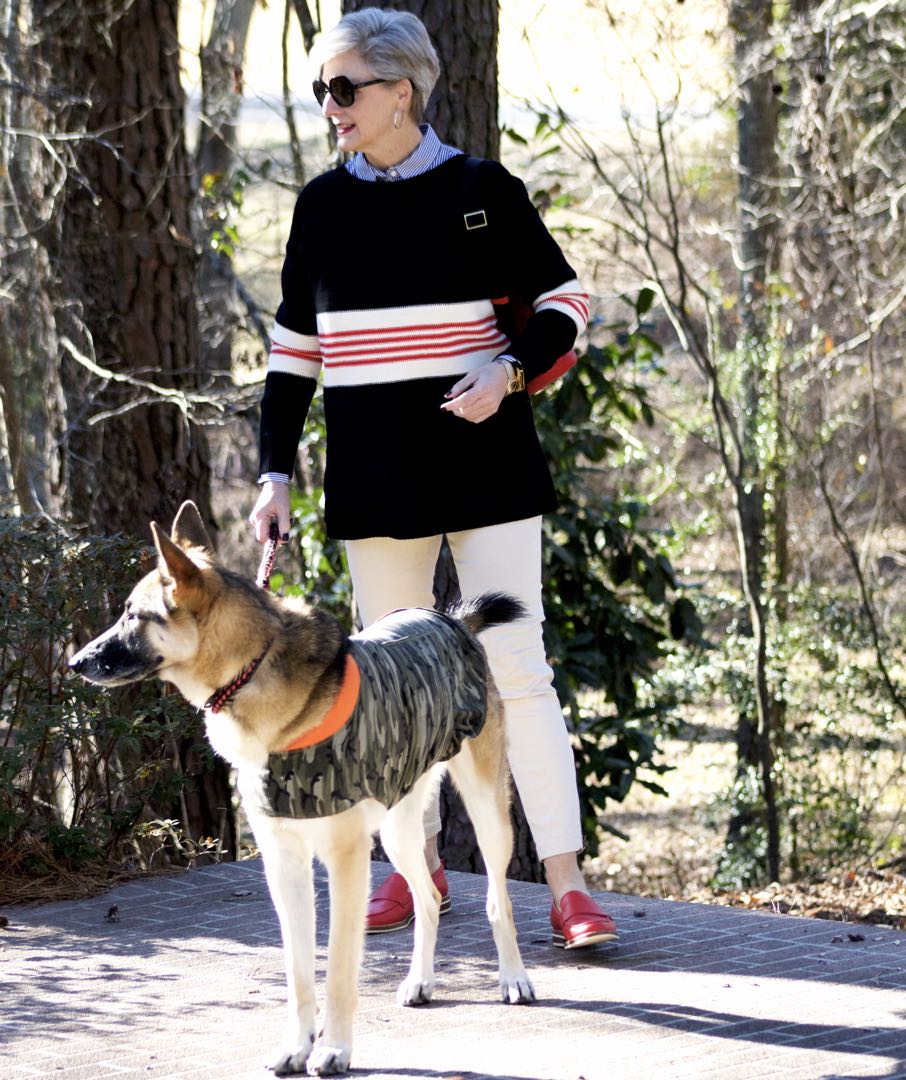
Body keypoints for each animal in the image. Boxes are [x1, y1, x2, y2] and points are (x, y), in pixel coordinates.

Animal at [74, 503, 537, 1071]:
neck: (250, 672)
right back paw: (420, 981)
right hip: (397, 831)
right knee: (428, 896)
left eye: (133, 616)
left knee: (498, 899)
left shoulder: (344, 860)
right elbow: (298, 972)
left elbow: (337, 967)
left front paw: (334, 1049)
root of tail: (451, 621)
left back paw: (513, 977)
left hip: (487, 811)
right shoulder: (283, 863)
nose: (75, 662)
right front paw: (297, 1046)